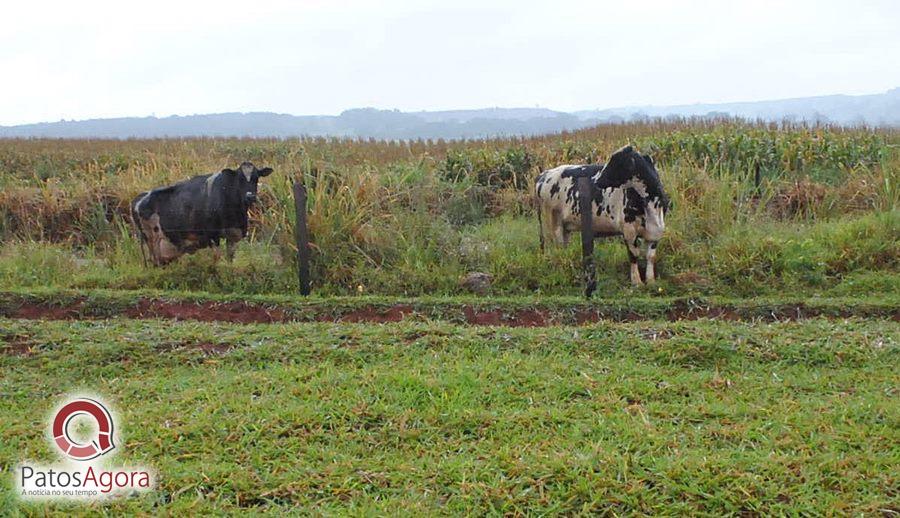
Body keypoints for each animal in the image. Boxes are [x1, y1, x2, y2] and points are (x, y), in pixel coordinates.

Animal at [129, 161, 270, 268]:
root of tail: (139, 197)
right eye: (239, 179)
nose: (250, 196)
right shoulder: (212, 235)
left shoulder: (233, 235)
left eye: (256, 178)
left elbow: (230, 258)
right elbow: (217, 257)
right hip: (150, 240)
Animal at [536, 145, 668, 284]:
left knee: (564, 248)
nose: (596, 180)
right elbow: (633, 255)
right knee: (556, 250)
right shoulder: (628, 229)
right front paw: (637, 282)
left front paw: (651, 280)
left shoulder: (656, 230)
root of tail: (543, 174)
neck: (651, 206)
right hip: (551, 224)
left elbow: (651, 256)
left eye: (616, 162)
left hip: (564, 227)